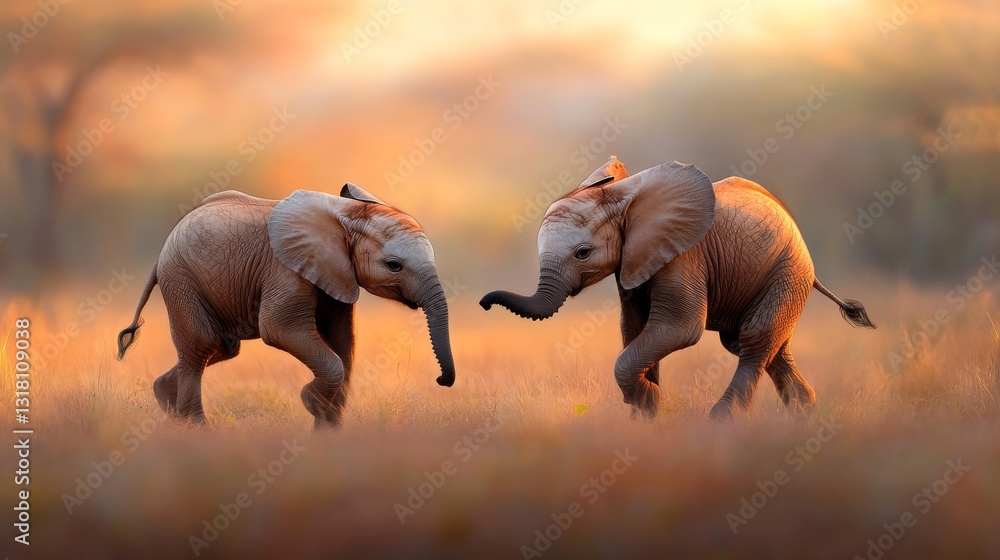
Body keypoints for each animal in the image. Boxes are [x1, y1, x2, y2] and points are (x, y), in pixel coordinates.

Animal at [117, 183, 455, 429]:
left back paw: (167, 403)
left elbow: (344, 341)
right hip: (181, 278)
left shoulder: (335, 273)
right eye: (393, 265)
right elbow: (279, 329)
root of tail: (162, 250)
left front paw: (327, 430)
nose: (440, 380)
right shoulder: (285, 269)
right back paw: (197, 428)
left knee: (221, 347)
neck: (345, 213)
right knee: (202, 344)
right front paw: (312, 404)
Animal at [481, 156, 874, 419]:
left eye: (582, 253)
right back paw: (804, 415)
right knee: (766, 346)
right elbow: (634, 330)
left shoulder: (684, 255)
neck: (624, 197)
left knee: (755, 339)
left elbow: (678, 329)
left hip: (788, 271)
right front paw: (644, 415)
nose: (483, 303)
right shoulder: (634, 261)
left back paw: (724, 421)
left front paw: (648, 401)